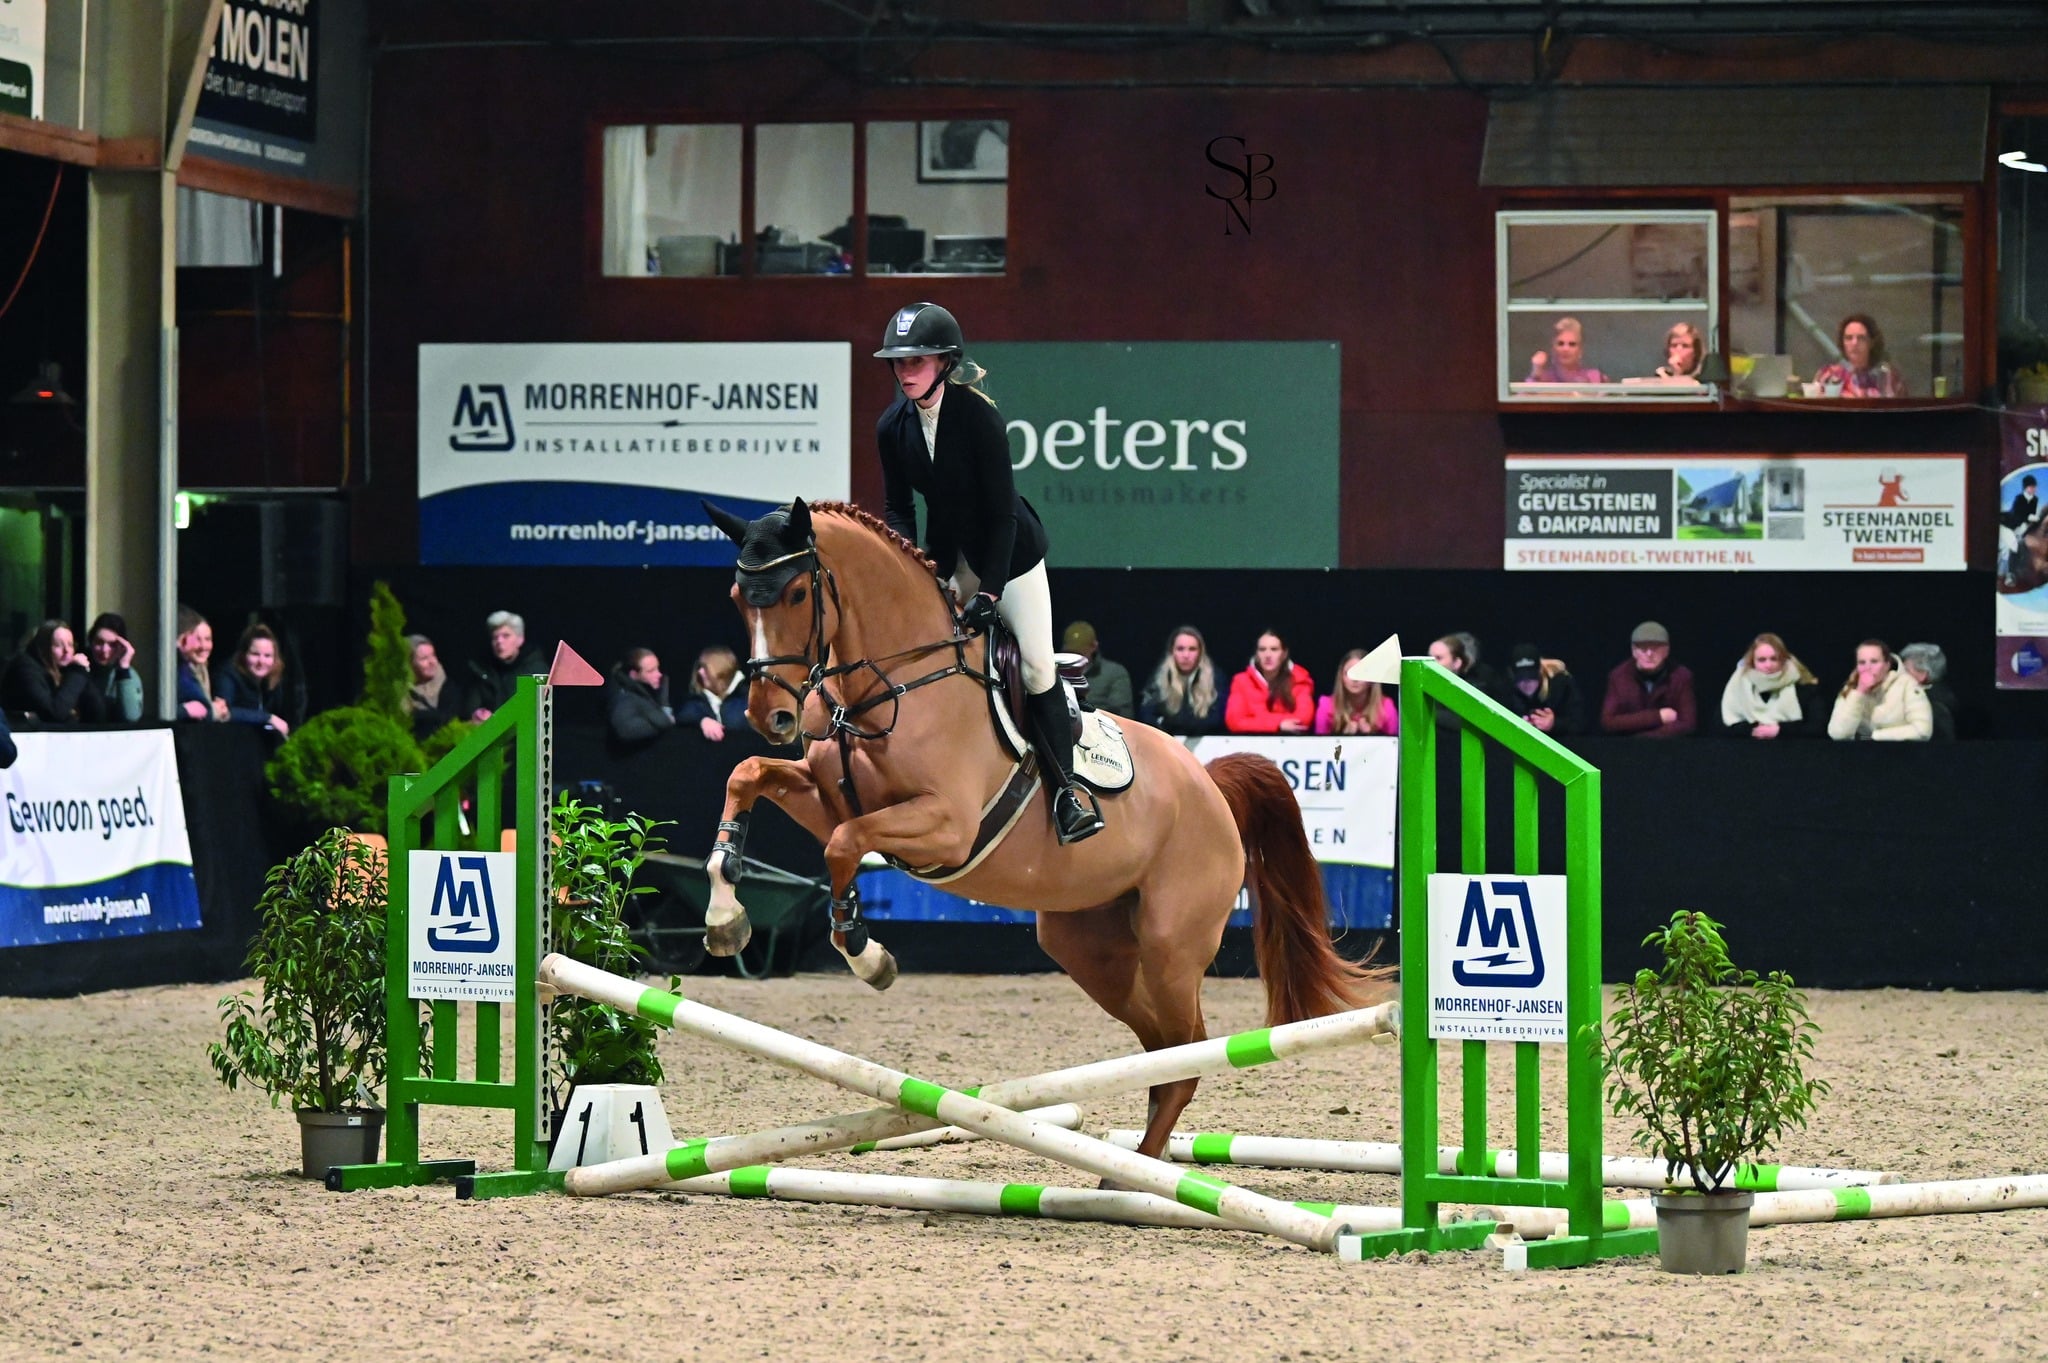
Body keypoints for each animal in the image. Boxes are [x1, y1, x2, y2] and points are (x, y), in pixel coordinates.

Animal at [696, 493, 1384, 1154]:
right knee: (1162, 1052)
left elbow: (842, 847)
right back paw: (1131, 1168)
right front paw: (726, 919)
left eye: (797, 593)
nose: (770, 716)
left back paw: (1130, 1177)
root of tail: (1210, 784)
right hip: (1089, 946)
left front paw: (868, 955)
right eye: (737, 597)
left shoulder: (945, 828)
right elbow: (747, 777)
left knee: (1185, 1055)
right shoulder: (829, 798)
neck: (897, 683)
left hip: (1170, 944)